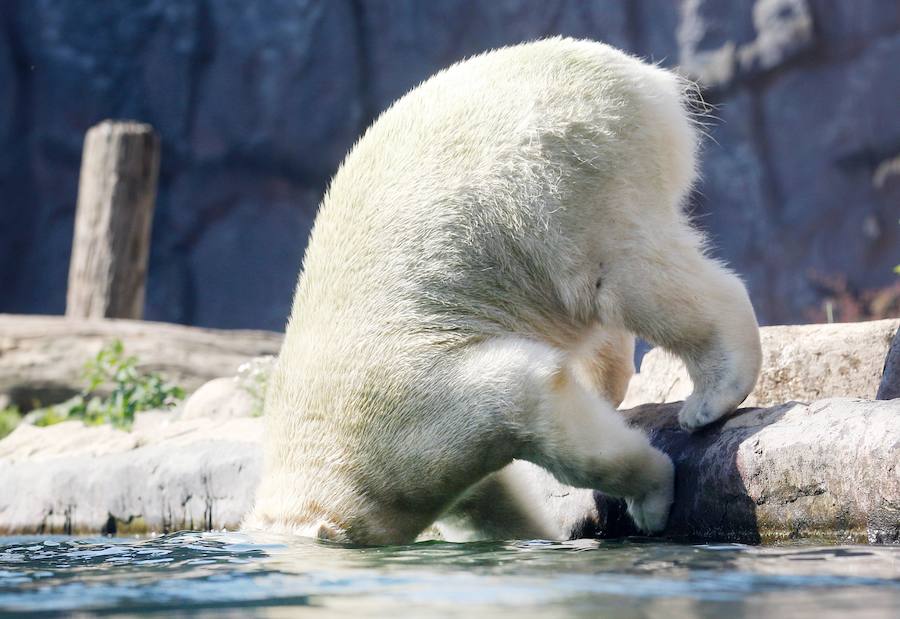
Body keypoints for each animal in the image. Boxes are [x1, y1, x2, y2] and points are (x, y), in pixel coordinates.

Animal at [244, 37, 760, 544]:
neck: (317, 437)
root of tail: (645, 79)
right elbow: (488, 499)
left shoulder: (409, 413)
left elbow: (525, 396)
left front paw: (650, 500)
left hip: (564, 179)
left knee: (625, 280)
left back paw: (711, 395)